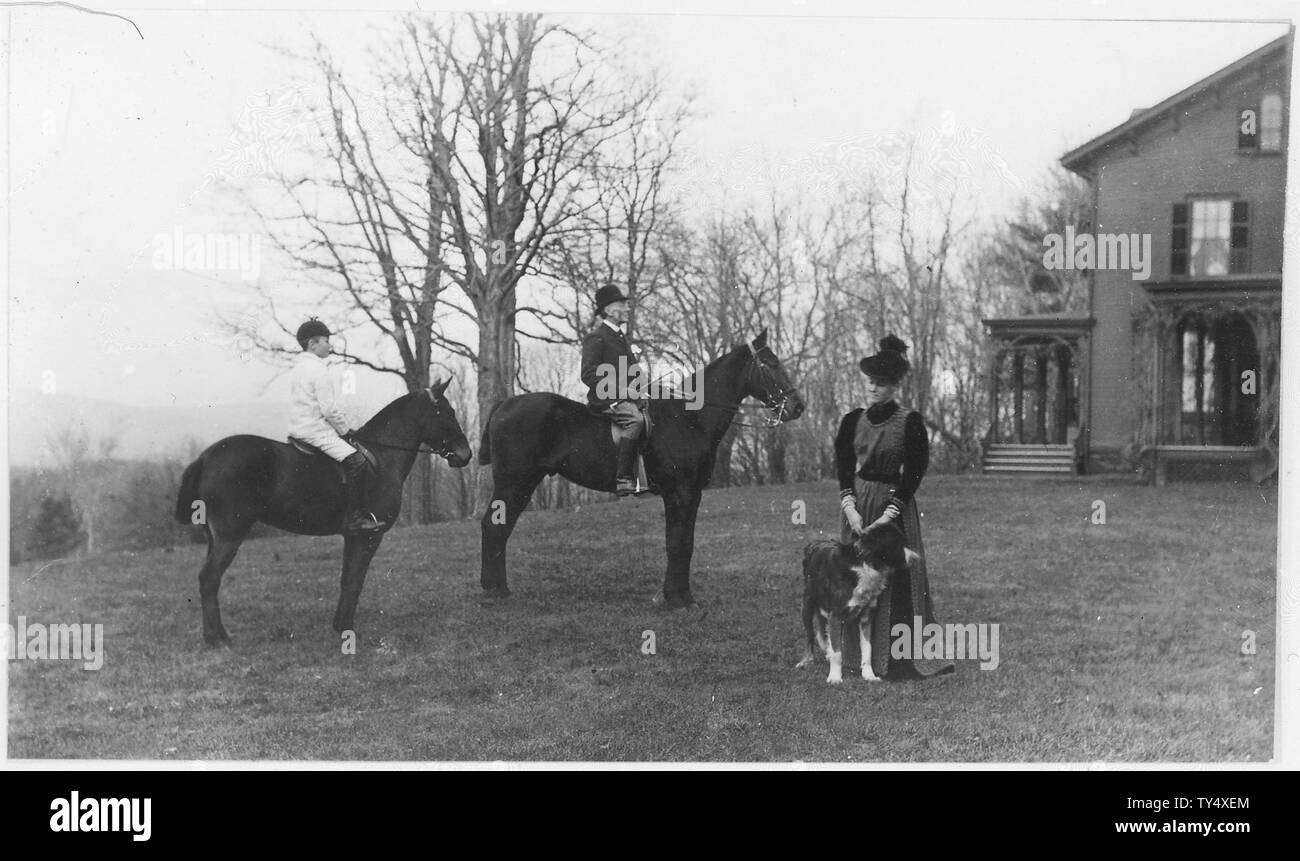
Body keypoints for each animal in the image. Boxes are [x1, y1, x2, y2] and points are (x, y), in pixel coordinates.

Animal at [175, 382, 473, 645]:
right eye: (448, 412)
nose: (465, 454)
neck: (381, 456)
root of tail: (206, 457)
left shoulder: (353, 536)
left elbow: (347, 578)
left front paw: (340, 625)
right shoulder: (370, 535)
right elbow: (356, 580)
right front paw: (346, 628)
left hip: (215, 537)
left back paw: (217, 635)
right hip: (230, 535)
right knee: (209, 578)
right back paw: (217, 639)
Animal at [478, 330, 800, 606]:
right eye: (771, 364)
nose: (798, 406)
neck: (690, 418)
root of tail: (505, 403)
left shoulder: (692, 494)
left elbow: (686, 543)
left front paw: (682, 596)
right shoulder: (679, 493)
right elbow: (676, 544)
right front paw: (676, 599)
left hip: (524, 482)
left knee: (500, 528)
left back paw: (497, 587)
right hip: (513, 482)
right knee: (494, 526)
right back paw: (495, 590)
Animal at [795, 522, 920, 686]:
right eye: (897, 543)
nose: (916, 559)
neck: (867, 565)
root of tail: (814, 543)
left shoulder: (867, 617)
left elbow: (867, 649)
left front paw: (869, 675)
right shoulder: (836, 616)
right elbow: (837, 652)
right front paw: (835, 676)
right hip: (808, 603)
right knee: (809, 634)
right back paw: (806, 660)